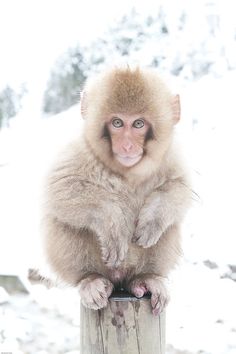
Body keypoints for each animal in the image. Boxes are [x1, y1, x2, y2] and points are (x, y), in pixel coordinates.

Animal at [42, 66, 192, 316]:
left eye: (138, 124)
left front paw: (152, 220)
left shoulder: (169, 155)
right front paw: (112, 221)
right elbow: (59, 187)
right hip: (103, 267)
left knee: (170, 225)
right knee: (64, 220)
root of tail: (119, 281)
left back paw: (146, 278)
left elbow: (179, 187)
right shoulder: (81, 149)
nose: (127, 145)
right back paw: (89, 279)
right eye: (117, 123)